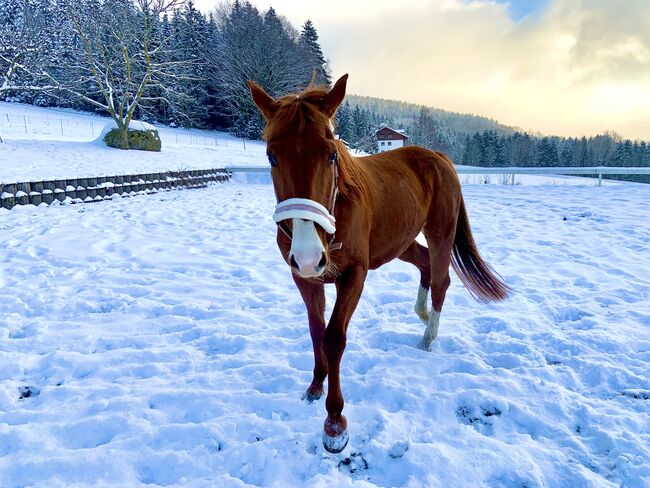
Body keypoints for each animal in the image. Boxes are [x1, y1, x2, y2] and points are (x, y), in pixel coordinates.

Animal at [247, 73, 506, 454]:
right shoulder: (305, 278)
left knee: (441, 279)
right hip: (400, 241)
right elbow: (315, 331)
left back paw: (428, 336)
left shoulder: (353, 276)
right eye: (271, 156)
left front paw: (335, 423)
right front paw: (315, 385)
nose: (309, 254)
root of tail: (438, 157)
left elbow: (333, 338)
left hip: (440, 232)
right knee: (425, 265)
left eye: (331, 155)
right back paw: (422, 314)